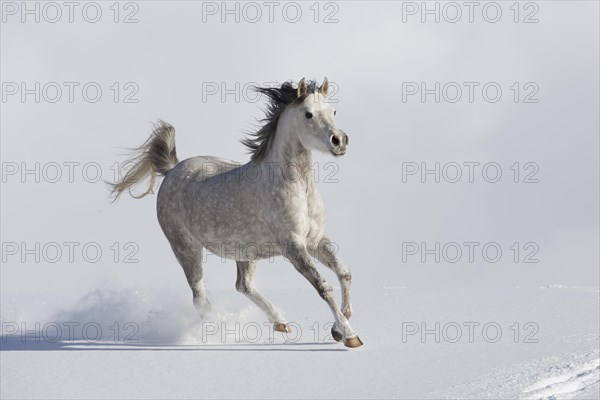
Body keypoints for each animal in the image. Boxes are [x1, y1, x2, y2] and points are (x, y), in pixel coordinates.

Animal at [108, 77, 364, 346]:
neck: (297, 189)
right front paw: (349, 335)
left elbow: (344, 273)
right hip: (186, 248)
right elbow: (323, 286)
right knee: (201, 297)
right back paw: (214, 331)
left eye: (333, 111)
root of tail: (172, 170)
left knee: (243, 285)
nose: (339, 141)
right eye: (308, 114)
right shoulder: (293, 247)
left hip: (244, 251)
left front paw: (339, 327)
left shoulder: (315, 240)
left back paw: (280, 323)